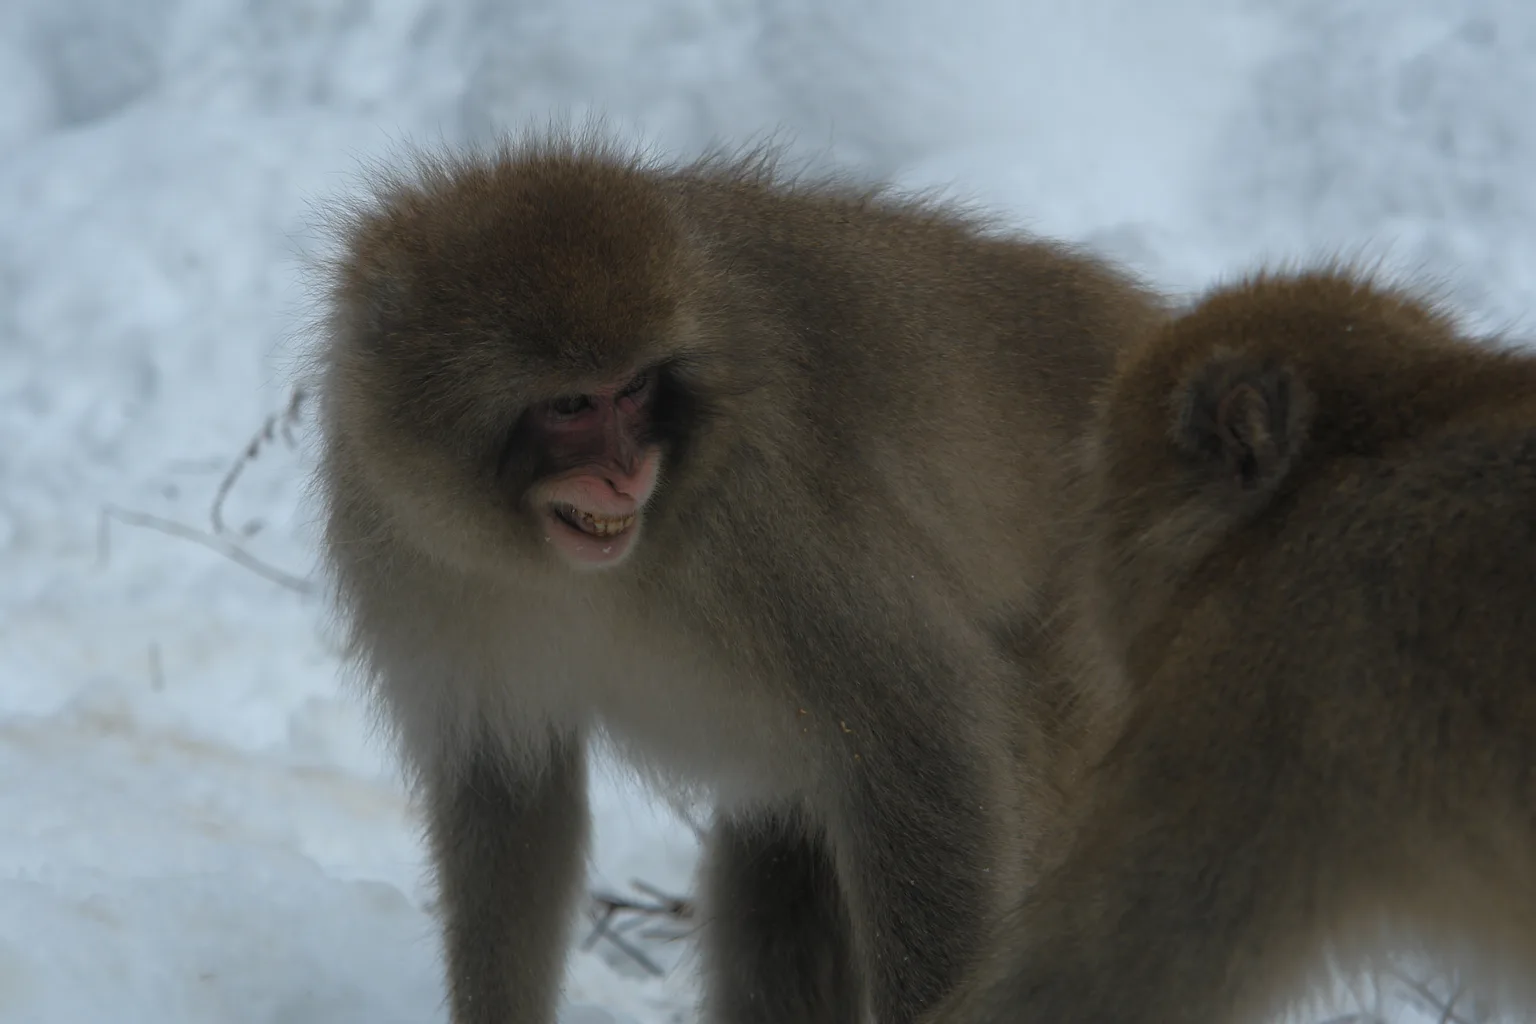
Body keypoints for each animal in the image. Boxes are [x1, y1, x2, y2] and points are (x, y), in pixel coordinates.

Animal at [307, 130, 1167, 1024]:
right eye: (573, 405)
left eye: (634, 389)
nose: (625, 474)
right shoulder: (408, 550)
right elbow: (508, 792)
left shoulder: (765, 524)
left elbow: (924, 735)